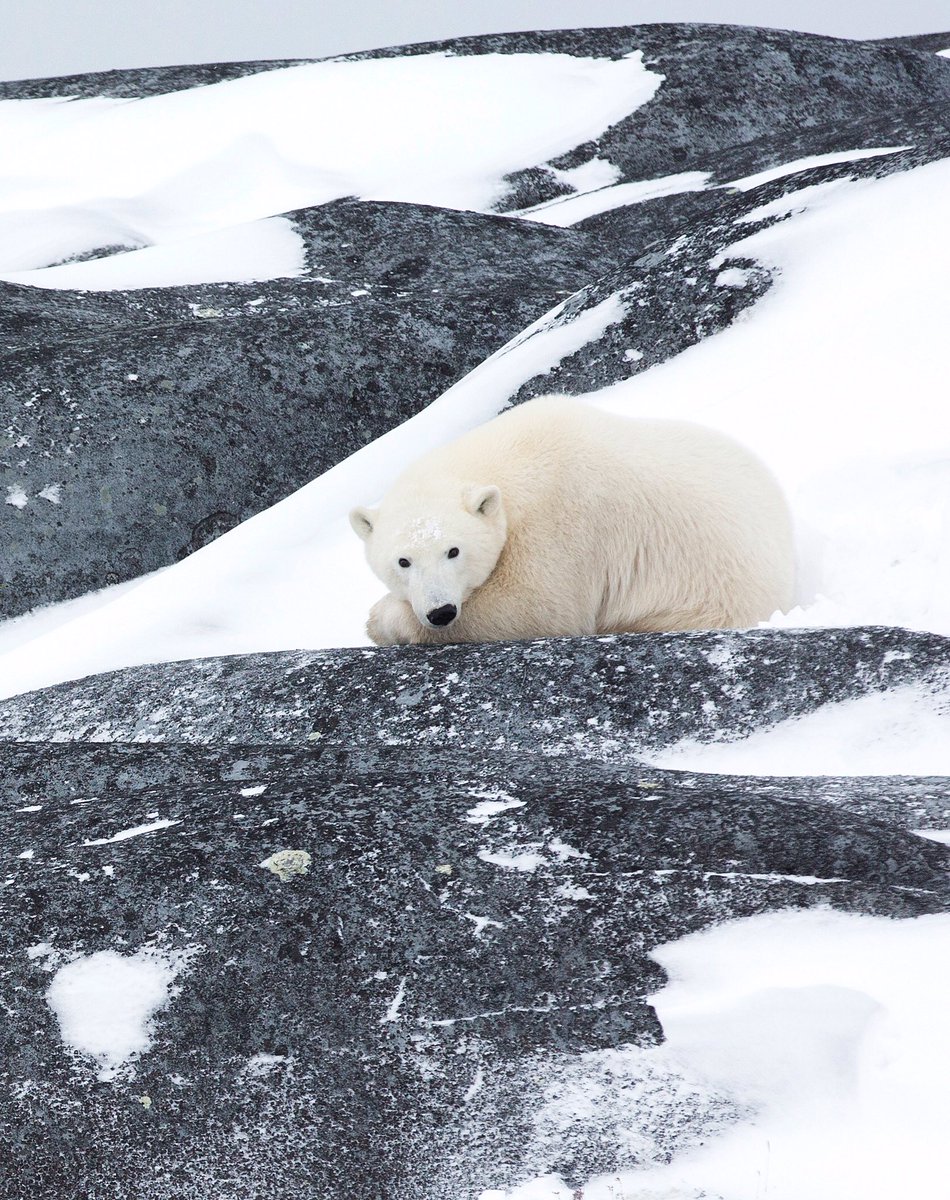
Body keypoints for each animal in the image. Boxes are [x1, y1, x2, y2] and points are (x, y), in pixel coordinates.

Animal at [347, 396, 796, 648]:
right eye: (403, 561)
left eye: (453, 551)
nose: (441, 612)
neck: (509, 457)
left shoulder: (560, 518)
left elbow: (535, 606)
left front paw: (380, 619)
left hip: (708, 597)